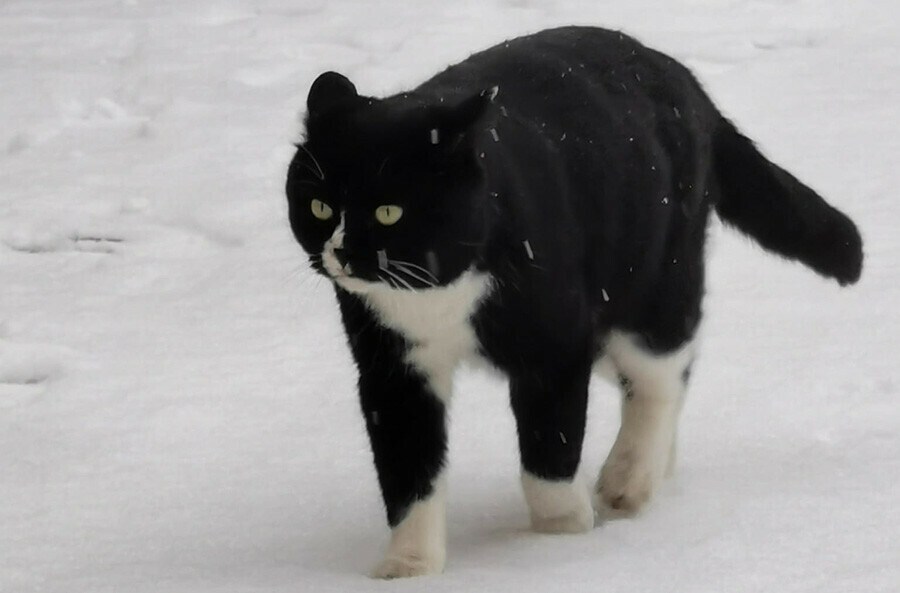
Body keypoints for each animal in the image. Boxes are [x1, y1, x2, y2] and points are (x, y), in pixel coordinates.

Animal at [284, 25, 860, 576]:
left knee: (661, 376)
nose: (340, 251)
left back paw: (629, 482)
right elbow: (408, 473)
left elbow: (550, 452)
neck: (437, 293)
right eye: (319, 206)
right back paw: (658, 469)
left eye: (389, 212)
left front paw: (559, 540)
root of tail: (684, 80)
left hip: (652, 286)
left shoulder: (555, 349)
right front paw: (409, 565)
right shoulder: (393, 369)